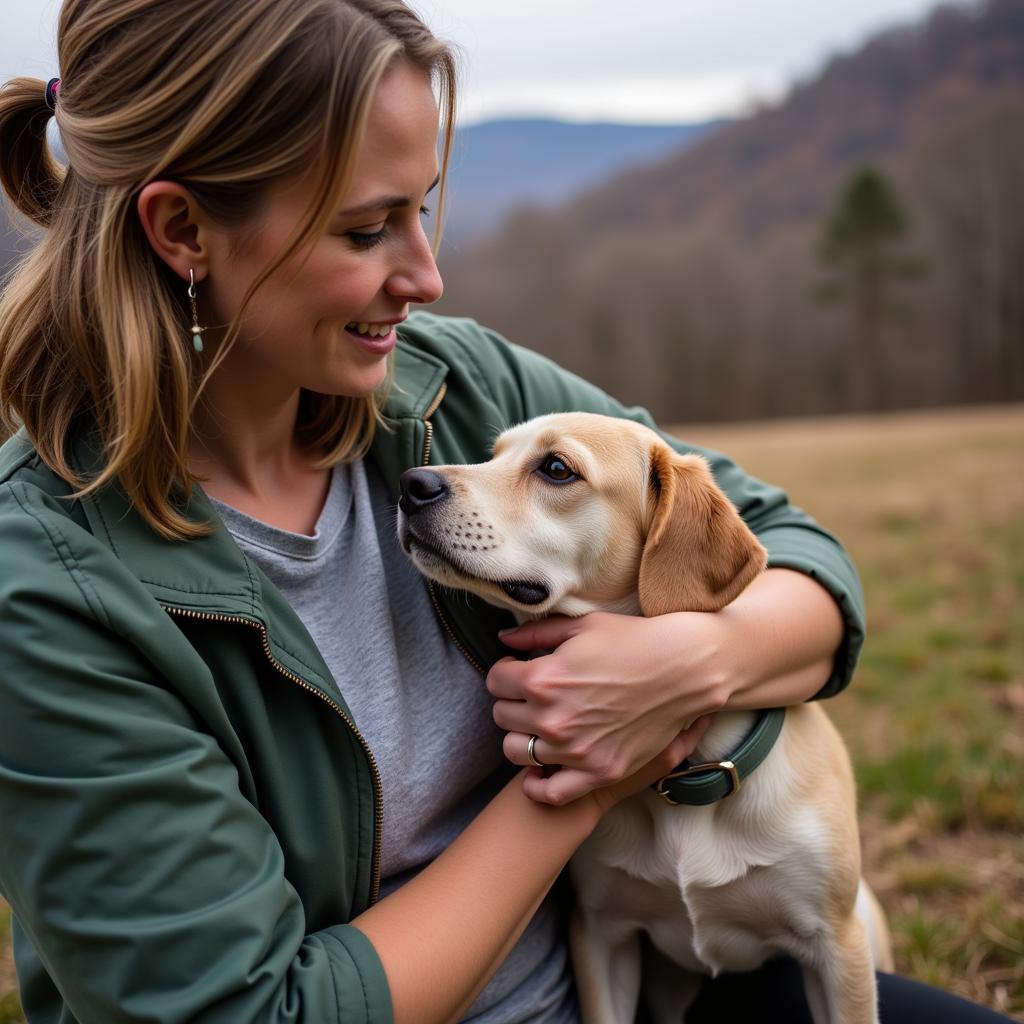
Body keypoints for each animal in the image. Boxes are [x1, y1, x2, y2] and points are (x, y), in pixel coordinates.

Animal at [395, 409, 892, 1024]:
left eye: (556, 469)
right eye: (493, 455)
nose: (411, 483)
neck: (689, 777)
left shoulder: (836, 949)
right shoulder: (601, 935)